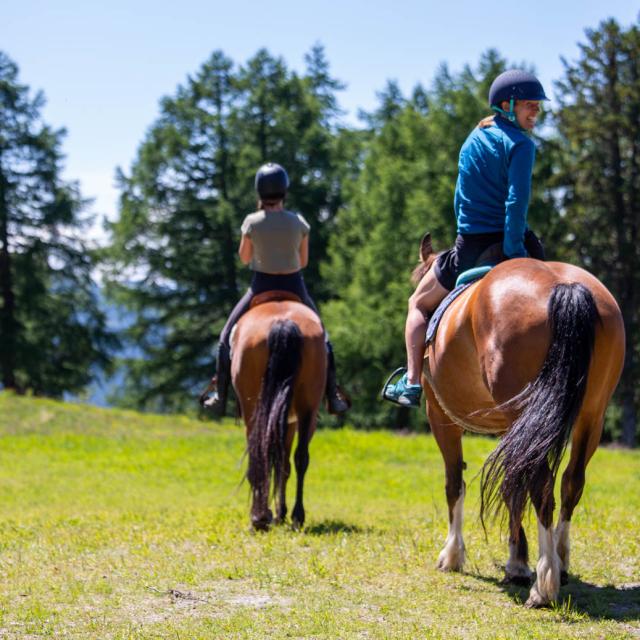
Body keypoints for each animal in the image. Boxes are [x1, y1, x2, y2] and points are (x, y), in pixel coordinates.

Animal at [230, 294, 328, 528]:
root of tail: (283, 323)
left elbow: (276, 460)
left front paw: (272, 512)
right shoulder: (291, 422)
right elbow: (284, 462)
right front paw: (279, 512)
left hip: (255, 410)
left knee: (261, 453)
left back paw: (261, 517)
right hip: (306, 410)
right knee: (299, 457)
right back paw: (295, 516)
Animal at [418, 234, 624, 604]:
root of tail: (564, 287)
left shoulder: (439, 416)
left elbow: (454, 482)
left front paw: (453, 554)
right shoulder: (514, 427)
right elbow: (511, 485)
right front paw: (516, 560)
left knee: (541, 486)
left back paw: (545, 584)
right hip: (592, 414)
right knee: (570, 482)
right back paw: (560, 560)